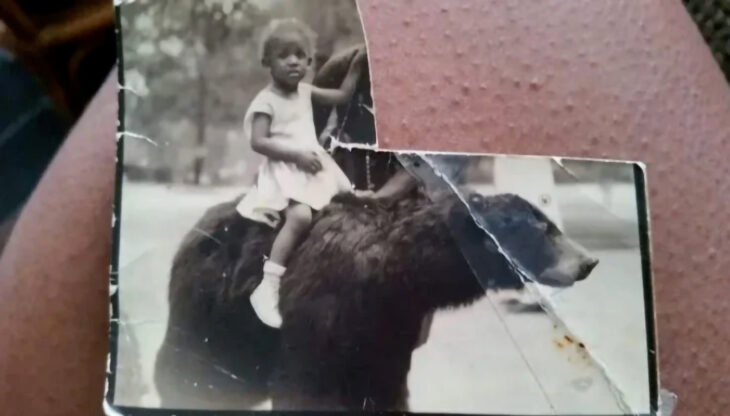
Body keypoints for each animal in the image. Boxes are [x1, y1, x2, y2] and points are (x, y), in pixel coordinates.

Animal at [154, 187, 596, 412]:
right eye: (545, 230)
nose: (588, 261)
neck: (397, 271)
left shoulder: (388, 327)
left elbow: (383, 386)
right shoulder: (323, 313)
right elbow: (305, 382)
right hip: (210, 313)